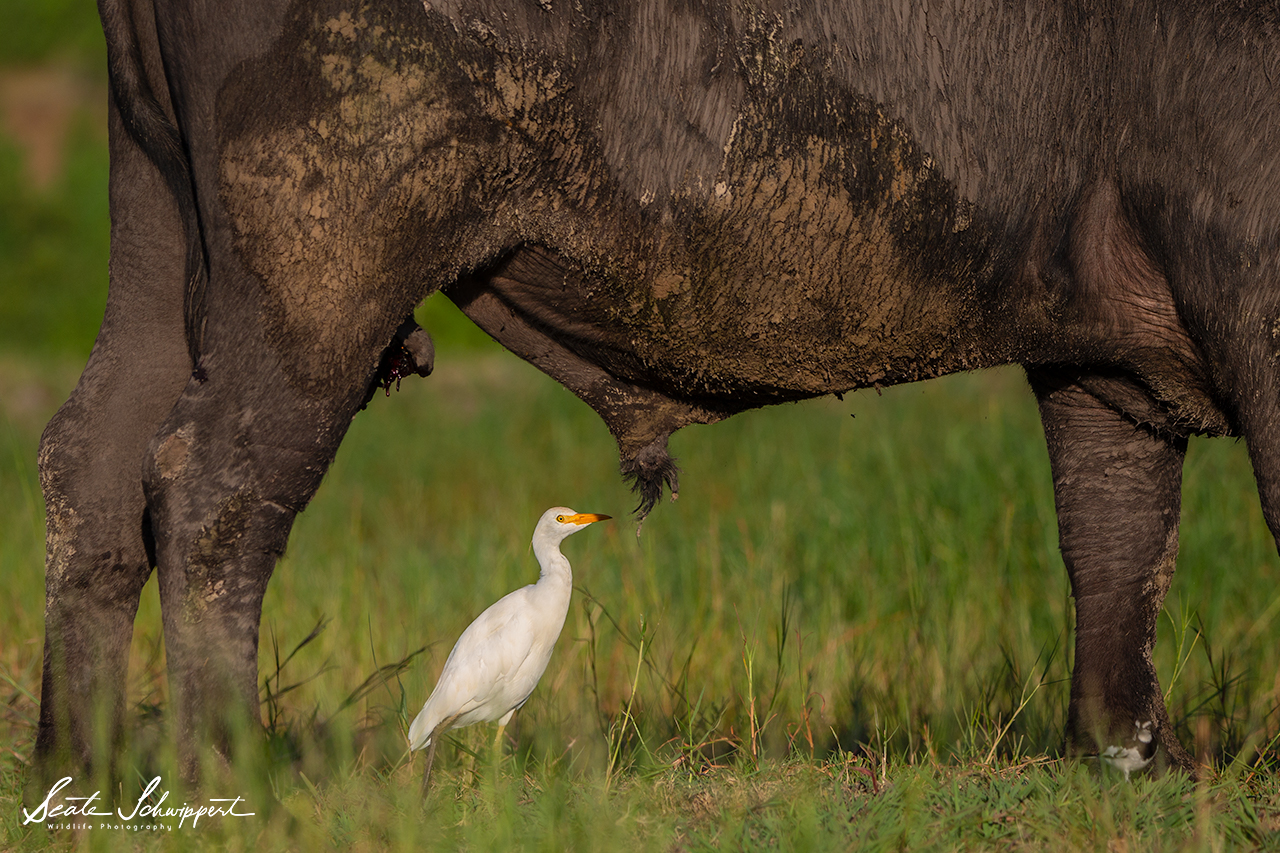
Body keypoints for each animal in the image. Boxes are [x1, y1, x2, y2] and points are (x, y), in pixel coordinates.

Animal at [30, 0, 1280, 783]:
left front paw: (1128, 753)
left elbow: (1114, 535)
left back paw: (78, 761)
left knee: (91, 461)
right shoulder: (1245, 291)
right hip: (317, 276)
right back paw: (229, 761)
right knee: (212, 483)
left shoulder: (1097, 362)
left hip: (164, 228)